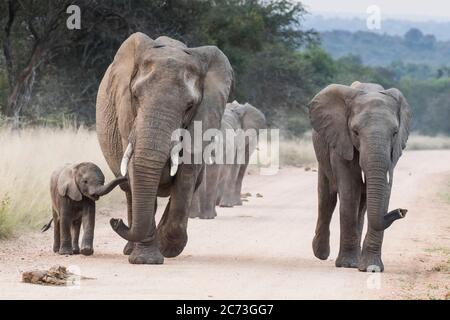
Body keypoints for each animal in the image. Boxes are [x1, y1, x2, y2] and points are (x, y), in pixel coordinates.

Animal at [96, 32, 234, 264]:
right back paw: (130, 248)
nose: (115, 221)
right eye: (135, 96)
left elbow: (187, 174)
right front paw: (146, 260)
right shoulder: (126, 115)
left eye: (189, 106)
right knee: (130, 191)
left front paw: (167, 248)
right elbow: (136, 171)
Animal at [310, 81, 412, 272]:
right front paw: (347, 265)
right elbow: (350, 188)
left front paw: (372, 267)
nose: (402, 211)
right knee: (327, 198)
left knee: (363, 203)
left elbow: (383, 191)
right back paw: (321, 254)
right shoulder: (341, 139)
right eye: (355, 132)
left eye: (395, 133)